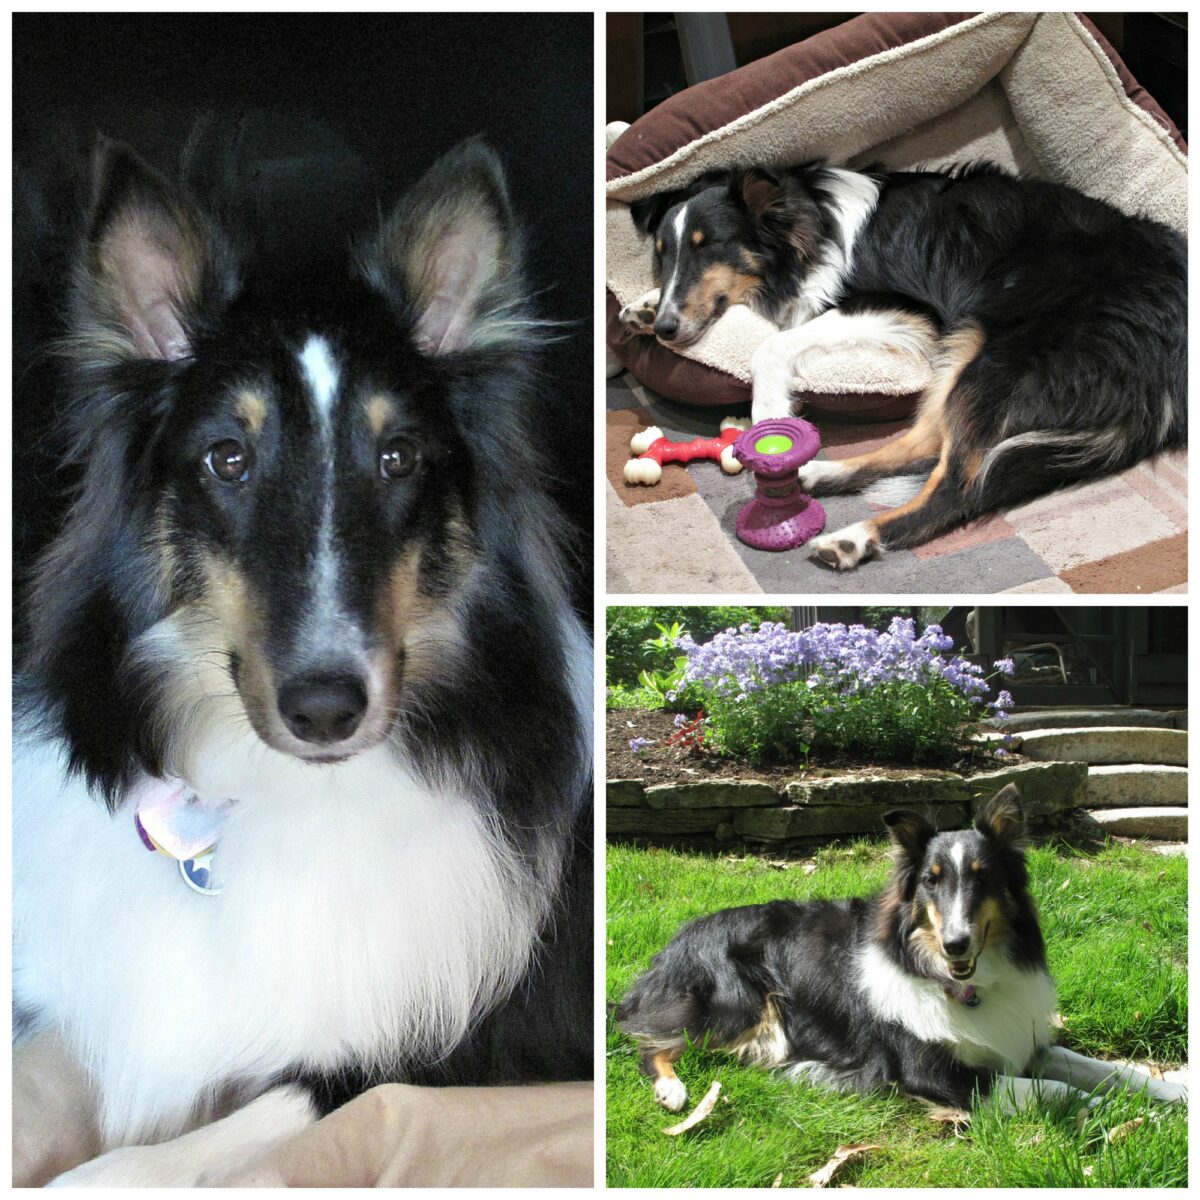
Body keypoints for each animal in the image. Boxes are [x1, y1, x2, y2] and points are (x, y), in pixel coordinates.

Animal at [9, 129, 590, 1180]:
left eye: (399, 458)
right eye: (227, 459)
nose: (326, 709)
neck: (281, 793)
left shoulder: (443, 1049)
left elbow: (151, 1154)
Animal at [619, 787, 1190, 1113]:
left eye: (983, 878)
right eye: (931, 881)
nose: (956, 944)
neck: (959, 985)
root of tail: (674, 943)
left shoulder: (1026, 1043)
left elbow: (1107, 1070)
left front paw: (1173, 1094)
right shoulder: (933, 1073)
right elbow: (1064, 1092)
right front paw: (1138, 1120)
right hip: (737, 1007)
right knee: (649, 1042)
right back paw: (672, 1092)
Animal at [624, 162, 1185, 568]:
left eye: (709, 248)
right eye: (663, 254)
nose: (667, 328)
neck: (812, 223)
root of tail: (1163, 375)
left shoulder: (910, 310)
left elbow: (775, 344)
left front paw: (767, 420)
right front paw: (643, 305)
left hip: (993, 355)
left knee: (960, 484)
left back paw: (855, 537)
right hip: (968, 353)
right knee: (928, 444)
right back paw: (822, 472)